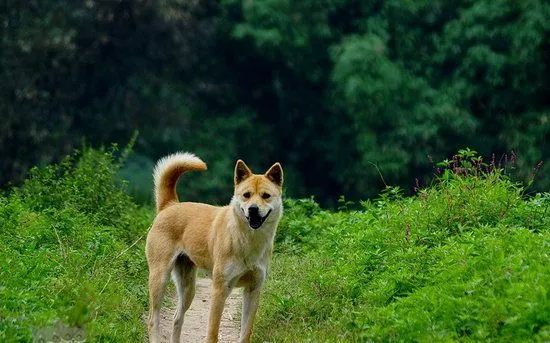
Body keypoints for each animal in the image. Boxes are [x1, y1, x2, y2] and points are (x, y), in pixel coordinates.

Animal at [147, 154, 284, 343]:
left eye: (266, 196)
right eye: (246, 195)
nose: (253, 209)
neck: (247, 240)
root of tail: (170, 205)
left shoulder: (253, 290)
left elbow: (245, 333)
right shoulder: (220, 289)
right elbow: (212, 332)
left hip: (188, 288)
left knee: (177, 318)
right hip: (160, 278)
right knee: (153, 319)